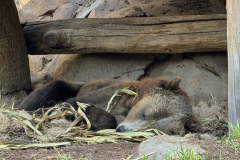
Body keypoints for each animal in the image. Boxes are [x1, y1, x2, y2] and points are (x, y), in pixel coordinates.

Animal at [19, 77, 202, 134]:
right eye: (144, 113)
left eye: (153, 128)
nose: (123, 129)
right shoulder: (113, 92)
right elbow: (70, 105)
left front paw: (94, 115)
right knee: (54, 87)